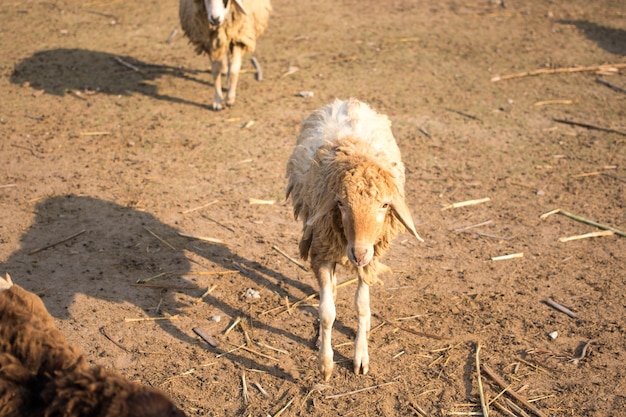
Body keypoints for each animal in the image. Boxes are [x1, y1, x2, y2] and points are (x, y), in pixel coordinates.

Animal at [286, 98, 422, 380]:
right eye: (340, 204)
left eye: (384, 205)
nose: (358, 253)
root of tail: (347, 102)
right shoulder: (322, 252)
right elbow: (327, 313)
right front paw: (325, 363)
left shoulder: (370, 260)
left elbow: (361, 306)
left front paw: (361, 357)